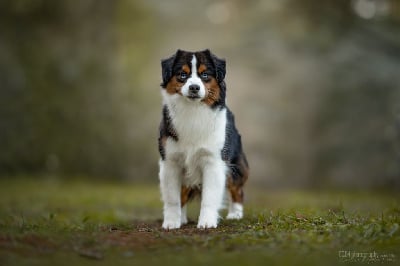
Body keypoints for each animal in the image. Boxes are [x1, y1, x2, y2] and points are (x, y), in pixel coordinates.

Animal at [159, 49, 247, 229]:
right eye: (182, 75)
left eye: (205, 75)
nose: (194, 87)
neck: (193, 110)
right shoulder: (171, 161)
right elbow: (172, 198)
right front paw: (171, 222)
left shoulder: (213, 161)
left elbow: (209, 197)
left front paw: (207, 222)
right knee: (183, 194)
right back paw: (182, 218)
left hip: (235, 164)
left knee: (237, 189)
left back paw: (235, 214)